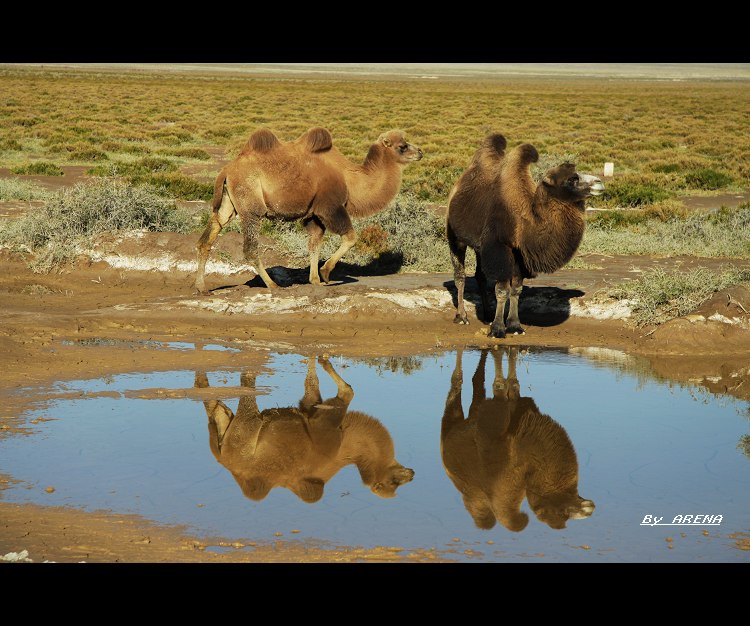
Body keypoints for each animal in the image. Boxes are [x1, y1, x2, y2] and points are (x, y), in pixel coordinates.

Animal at [194, 356, 414, 502]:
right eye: (393, 482)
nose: (411, 473)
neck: (345, 440)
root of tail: (226, 460)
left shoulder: (311, 408)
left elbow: (311, 387)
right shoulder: (326, 426)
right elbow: (347, 392)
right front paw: (323, 358)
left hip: (224, 434)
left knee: (213, 405)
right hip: (244, 434)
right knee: (247, 387)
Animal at [195, 128, 424, 294]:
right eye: (402, 146)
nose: (420, 152)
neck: (350, 179)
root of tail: (226, 170)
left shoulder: (314, 215)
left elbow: (314, 244)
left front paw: (315, 280)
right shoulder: (330, 208)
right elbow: (351, 237)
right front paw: (326, 273)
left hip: (228, 203)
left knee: (210, 234)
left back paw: (202, 288)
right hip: (251, 205)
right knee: (250, 247)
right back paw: (273, 285)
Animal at [444, 348, 596, 528]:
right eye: (561, 512)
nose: (589, 508)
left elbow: (513, 383)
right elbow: (500, 383)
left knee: (477, 385)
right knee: (456, 384)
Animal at [446, 132, 604, 336]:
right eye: (572, 179)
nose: (599, 182)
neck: (525, 221)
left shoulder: (520, 254)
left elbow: (516, 290)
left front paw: (514, 325)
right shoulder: (501, 247)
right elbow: (502, 290)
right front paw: (498, 329)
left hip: (481, 246)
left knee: (480, 275)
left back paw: (487, 314)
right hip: (454, 235)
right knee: (460, 275)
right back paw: (462, 316)